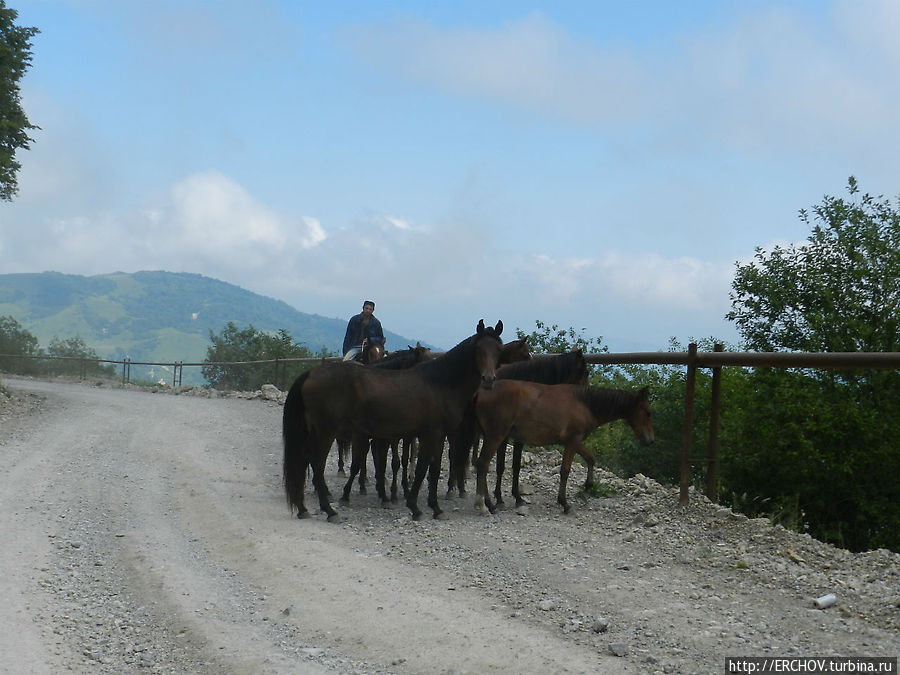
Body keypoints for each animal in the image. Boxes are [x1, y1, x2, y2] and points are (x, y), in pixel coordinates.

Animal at [284, 320, 502, 520]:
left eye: (498, 349)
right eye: (479, 349)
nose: (489, 379)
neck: (440, 383)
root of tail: (311, 373)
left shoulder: (439, 437)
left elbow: (433, 470)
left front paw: (436, 508)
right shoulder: (429, 435)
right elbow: (421, 469)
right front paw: (414, 506)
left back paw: (303, 508)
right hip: (326, 432)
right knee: (317, 463)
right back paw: (329, 510)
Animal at [472, 382, 652, 516]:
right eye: (647, 412)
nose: (650, 440)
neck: (584, 404)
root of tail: (481, 392)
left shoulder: (574, 442)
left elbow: (591, 459)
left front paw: (588, 487)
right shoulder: (572, 441)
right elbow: (565, 470)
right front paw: (564, 503)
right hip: (495, 436)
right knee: (483, 464)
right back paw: (486, 505)